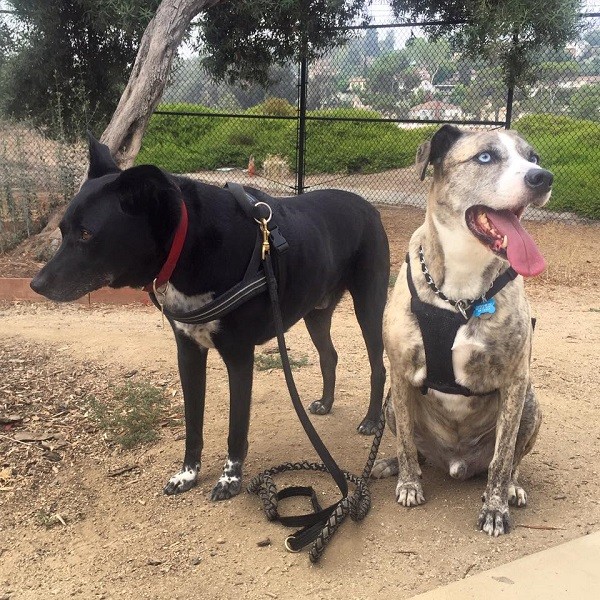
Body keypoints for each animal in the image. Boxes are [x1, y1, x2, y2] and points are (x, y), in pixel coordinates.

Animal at [32, 138, 390, 500]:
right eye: (62, 230)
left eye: (86, 234)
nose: (37, 284)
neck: (189, 242)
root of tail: (368, 207)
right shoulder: (188, 353)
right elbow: (193, 423)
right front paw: (187, 475)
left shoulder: (239, 357)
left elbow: (236, 427)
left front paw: (230, 479)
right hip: (315, 313)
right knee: (329, 355)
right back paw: (327, 403)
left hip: (368, 305)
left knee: (378, 365)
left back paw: (371, 420)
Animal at [376, 125, 552, 536]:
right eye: (485, 157)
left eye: (533, 157)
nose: (543, 177)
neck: (460, 285)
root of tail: (457, 464)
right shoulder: (400, 374)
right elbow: (405, 442)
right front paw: (409, 484)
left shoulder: (515, 381)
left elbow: (502, 458)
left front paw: (495, 508)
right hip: (390, 403)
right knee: (412, 446)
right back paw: (395, 466)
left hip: (530, 403)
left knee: (511, 459)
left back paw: (512, 488)